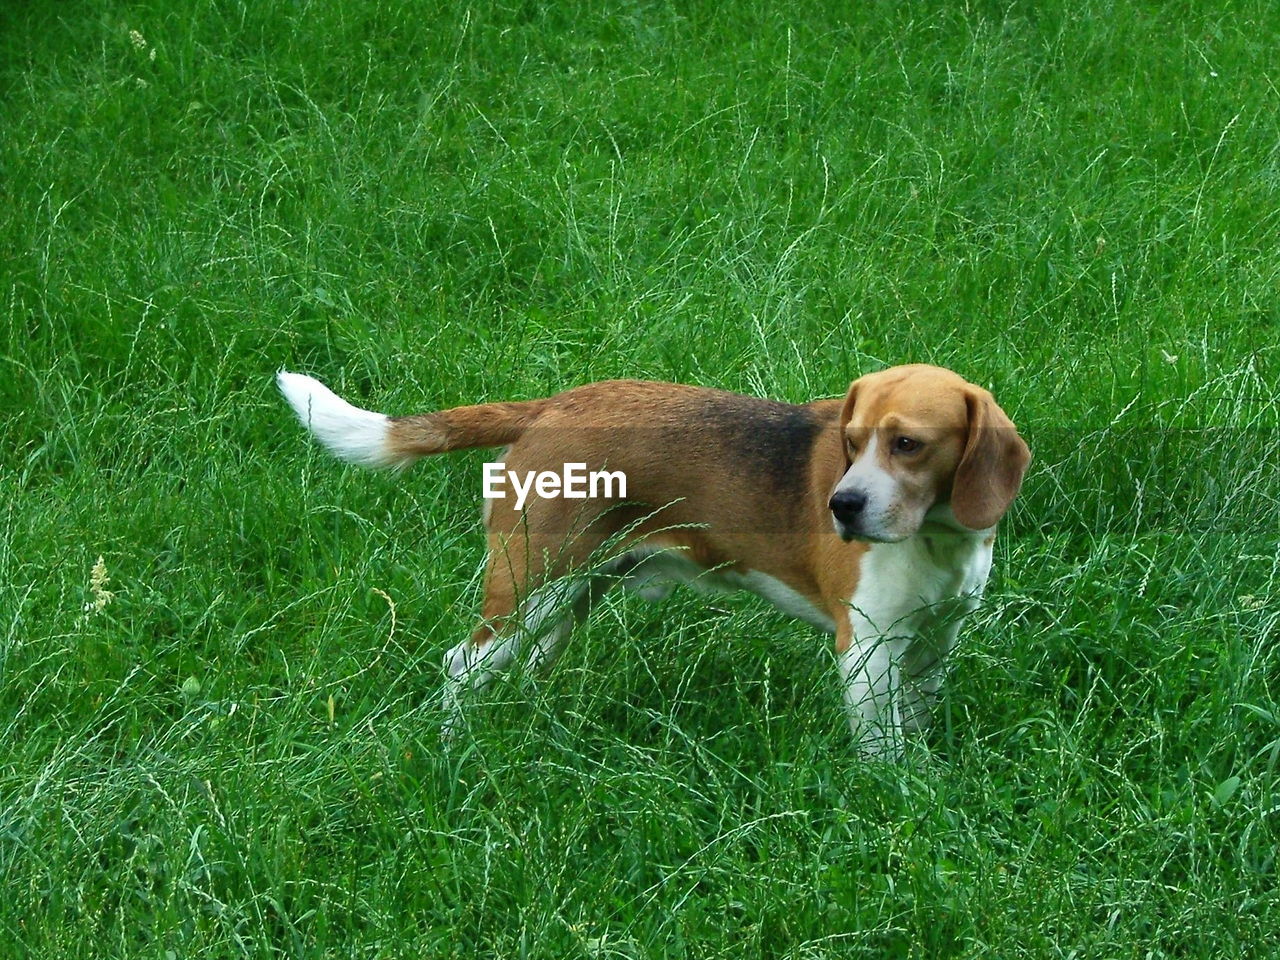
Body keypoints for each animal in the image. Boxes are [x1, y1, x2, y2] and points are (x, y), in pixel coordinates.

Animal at [280, 363, 1029, 757]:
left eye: (907, 444)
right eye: (848, 442)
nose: (841, 506)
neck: (936, 537)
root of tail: (552, 405)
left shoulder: (935, 640)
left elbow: (921, 715)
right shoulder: (867, 652)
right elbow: (883, 746)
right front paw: (892, 796)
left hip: (572, 595)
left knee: (527, 666)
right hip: (533, 584)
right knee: (462, 665)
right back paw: (454, 744)